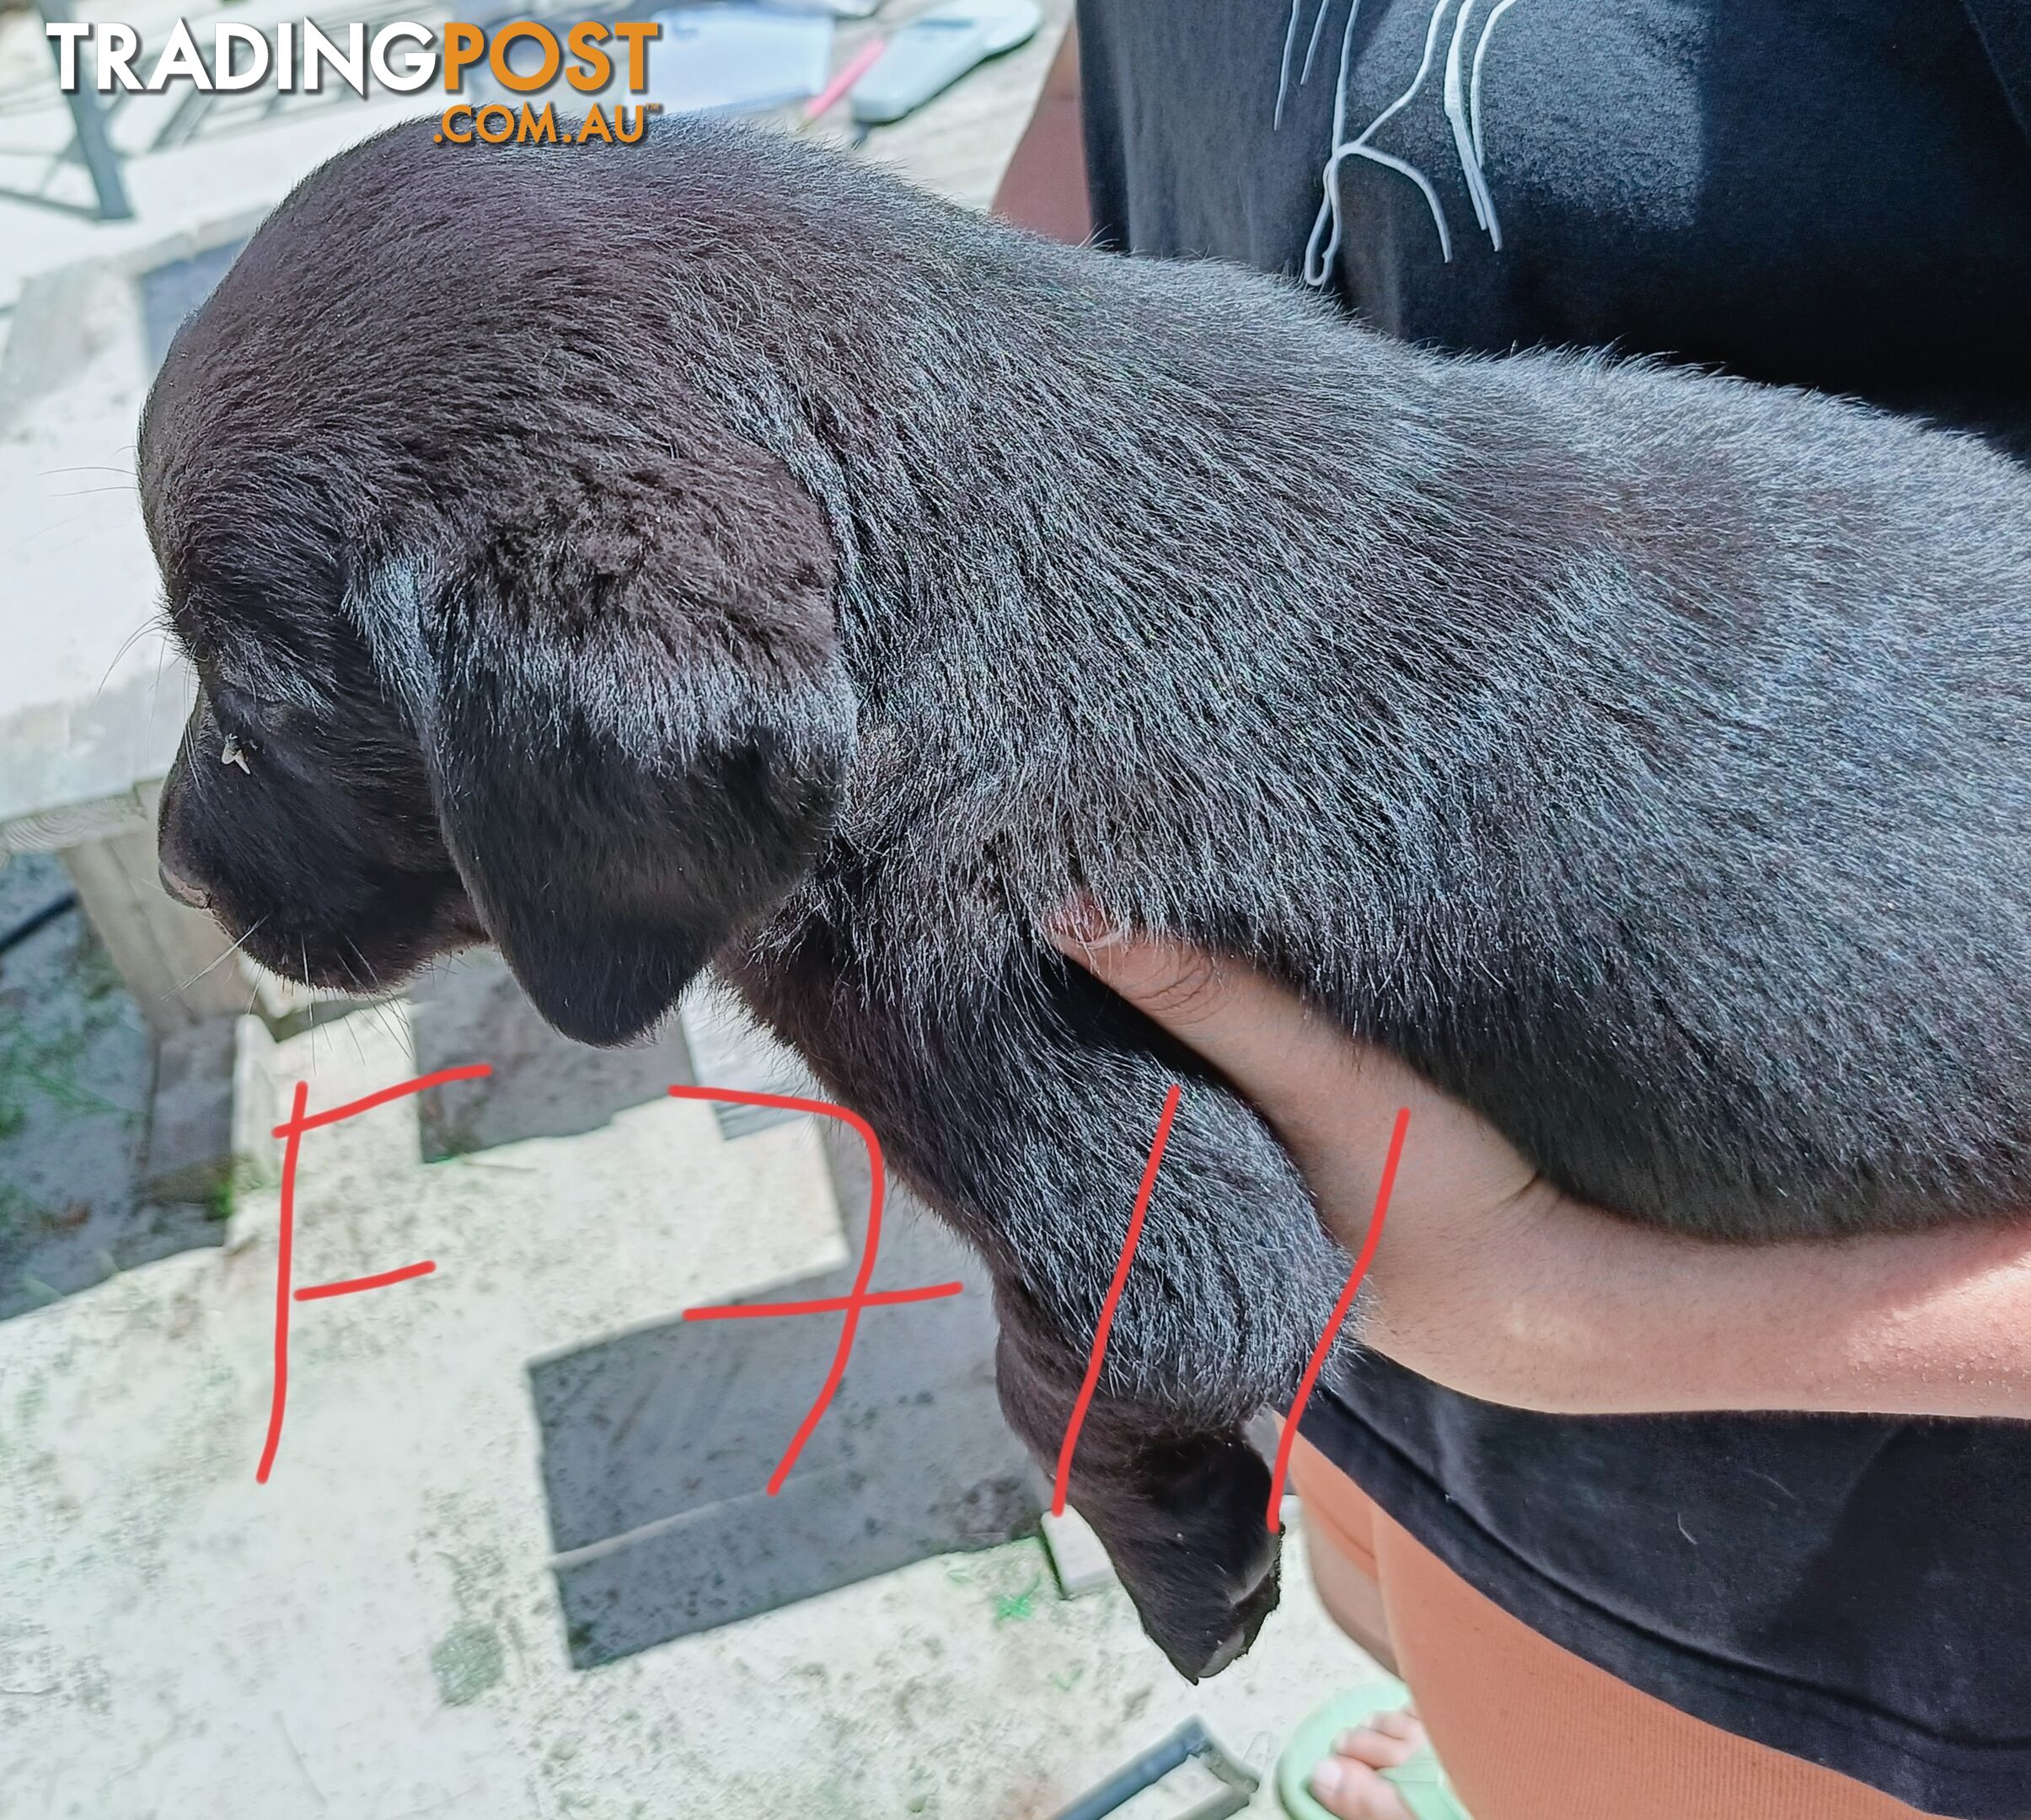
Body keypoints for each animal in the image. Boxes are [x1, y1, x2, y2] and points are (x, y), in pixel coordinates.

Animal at [139, 114, 2031, 1673]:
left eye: (248, 718)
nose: (168, 869)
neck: (943, 593)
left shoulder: (1115, 1169)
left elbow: (1058, 1369)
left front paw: (1178, 1562)